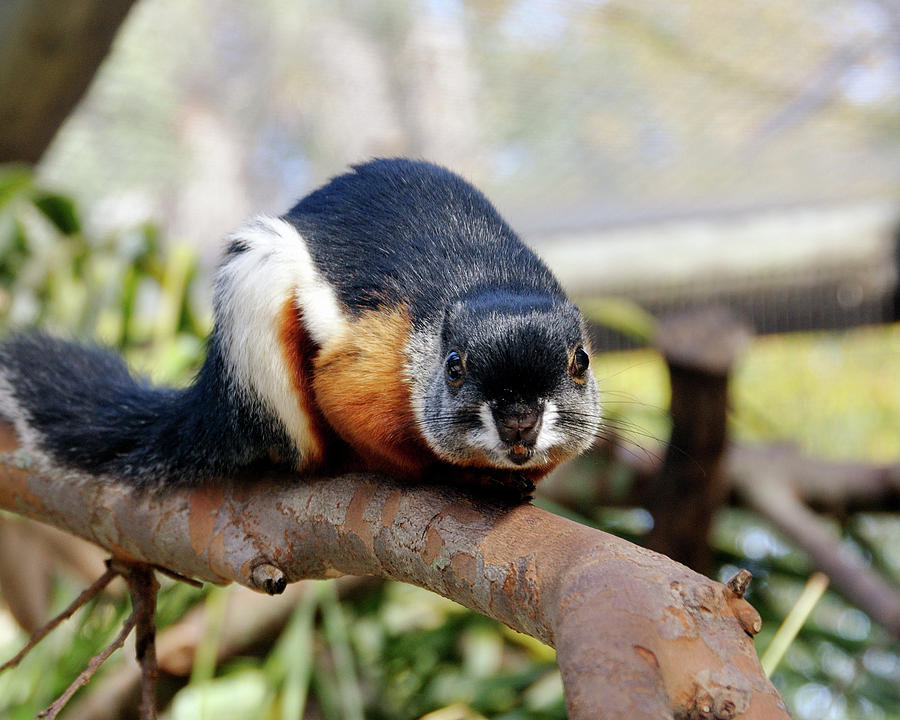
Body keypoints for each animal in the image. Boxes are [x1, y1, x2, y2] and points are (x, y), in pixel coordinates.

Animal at [1, 158, 604, 496]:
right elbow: (377, 433)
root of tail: (217, 398)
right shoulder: (360, 367)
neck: (487, 282)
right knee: (302, 448)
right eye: (453, 368)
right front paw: (457, 474)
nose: (520, 422)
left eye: (581, 362)